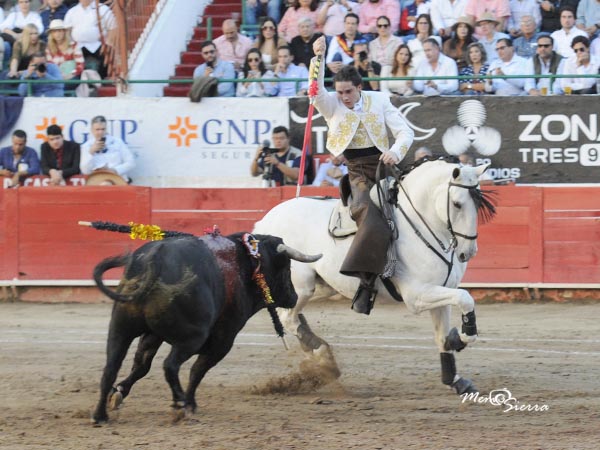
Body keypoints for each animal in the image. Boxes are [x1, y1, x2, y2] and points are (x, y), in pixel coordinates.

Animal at [91, 234, 322, 424]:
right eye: (286, 267)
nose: (293, 297)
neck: (247, 264)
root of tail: (155, 257)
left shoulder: (152, 335)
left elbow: (142, 365)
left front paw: (119, 392)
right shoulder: (223, 339)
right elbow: (198, 370)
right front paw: (191, 403)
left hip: (120, 329)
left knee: (110, 368)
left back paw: (100, 415)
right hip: (193, 337)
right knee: (170, 365)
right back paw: (180, 404)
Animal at [255, 157, 494, 394]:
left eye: (479, 204)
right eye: (457, 204)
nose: (468, 252)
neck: (420, 224)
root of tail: (264, 221)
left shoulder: (442, 291)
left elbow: (442, 335)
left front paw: (455, 377)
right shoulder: (417, 295)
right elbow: (466, 298)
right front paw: (460, 339)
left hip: (322, 287)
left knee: (290, 313)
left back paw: (320, 355)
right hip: (301, 286)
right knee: (288, 317)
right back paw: (322, 355)